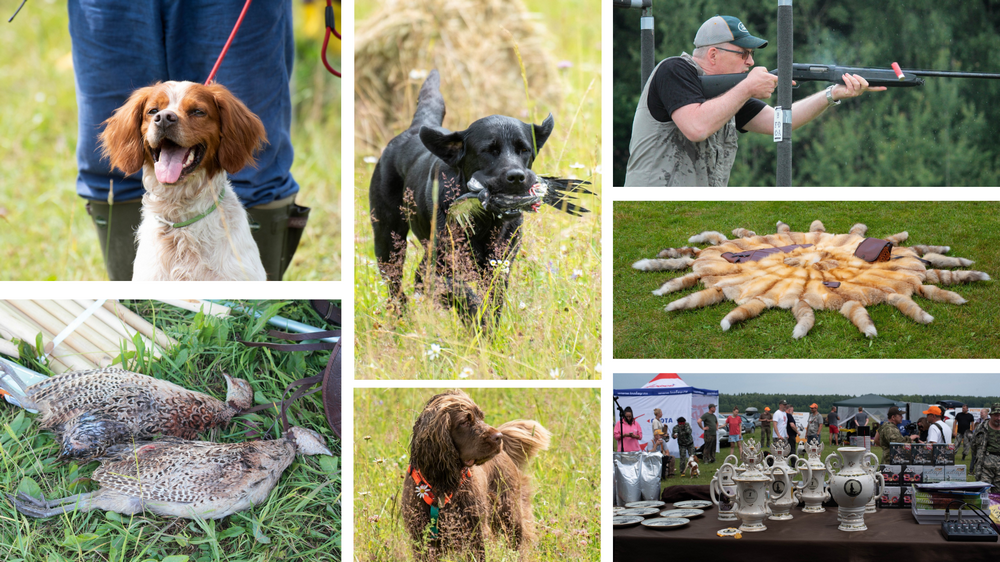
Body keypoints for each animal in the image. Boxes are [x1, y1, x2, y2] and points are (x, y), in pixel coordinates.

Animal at [370, 69, 584, 328]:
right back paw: (402, 320)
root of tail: (417, 126)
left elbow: (491, 301)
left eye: (524, 150)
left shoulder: (499, 266)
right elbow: (461, 293)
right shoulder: (439, 268)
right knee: (397, 284)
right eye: (488, 151)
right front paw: (477, 322)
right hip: (387, 240)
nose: (517, 177)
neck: (485, 222)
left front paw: (487, 328)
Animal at [400, 390, 556, 560]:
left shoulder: (477, 533)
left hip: (510, 514)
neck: (443, 484)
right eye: (464, 422)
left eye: (481, 416)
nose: (499, 437)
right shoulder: (422, 539)